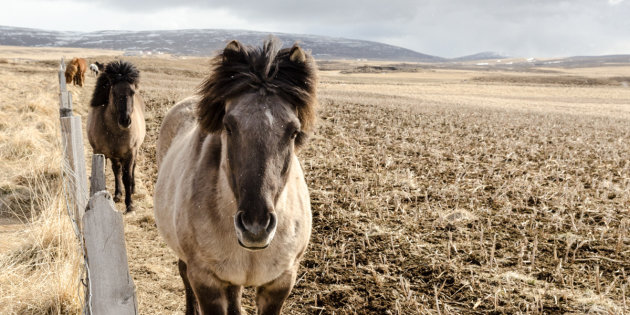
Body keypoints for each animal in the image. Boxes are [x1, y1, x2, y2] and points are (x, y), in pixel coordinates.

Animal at [87, 60, 146, 214]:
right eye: (113, 91)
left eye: (132, 92)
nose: (125, 121)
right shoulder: (99, 152)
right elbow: (101, 174)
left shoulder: (131, 152)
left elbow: (127, 177)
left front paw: (130, 205)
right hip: (114, 155)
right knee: (116, 170)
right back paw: (118, 193)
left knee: (131, 169)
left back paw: (132, 189)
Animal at [156, 39, 318, 315]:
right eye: (228, 126)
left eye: (293, 132)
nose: (256, 227)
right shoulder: (206, 282)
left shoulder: (280, 283)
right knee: (183, 273)